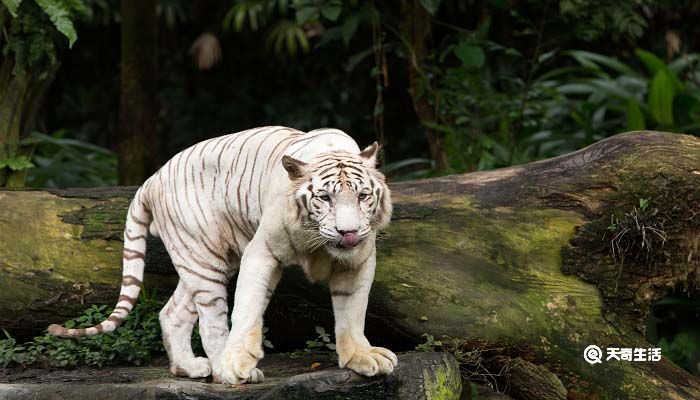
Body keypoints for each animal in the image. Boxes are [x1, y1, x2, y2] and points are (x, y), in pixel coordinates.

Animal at [48, 127, 396, 384]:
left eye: (363, 196)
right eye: (324, 198)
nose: (348, 232)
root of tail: (152, 179)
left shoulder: (360, 259)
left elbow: (352, 311)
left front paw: (361, 357)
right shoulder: (262, 251)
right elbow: (247, 308)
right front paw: (238, 361)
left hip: (203, 259)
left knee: (172, 313)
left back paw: (189, 368)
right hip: (204, 259)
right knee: (211, 323)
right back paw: (223, 369)